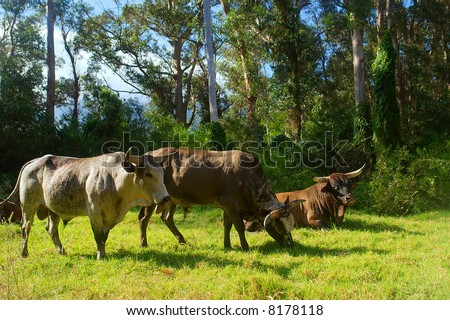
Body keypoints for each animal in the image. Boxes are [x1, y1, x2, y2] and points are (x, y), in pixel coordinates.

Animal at [0, 151, 169, 260]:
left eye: (162, 174)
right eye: (148, 174)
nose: (166, 197)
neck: (115, 181)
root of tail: (34, 162)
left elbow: (104, 237)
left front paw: (103, 253)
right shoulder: (94, 213)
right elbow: (98, 236)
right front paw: (101, 256)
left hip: (52, 209)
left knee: (52, 230)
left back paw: (61, 251)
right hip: (28, 206)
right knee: (25, 228)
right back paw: (24, 253)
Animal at [139, 148, 304, 250]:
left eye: (291, 223)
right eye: (280, 225)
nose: (290, 244)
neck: (248, 177)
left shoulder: (227, 206)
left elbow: (227, 226)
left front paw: (227, 245)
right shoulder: (231, 205)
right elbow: (239, 227)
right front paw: (245, 247)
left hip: (171, 200)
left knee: (167, 218)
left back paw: (182, 240)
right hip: (151, 198)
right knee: (143, 218)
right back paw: (144, 243)